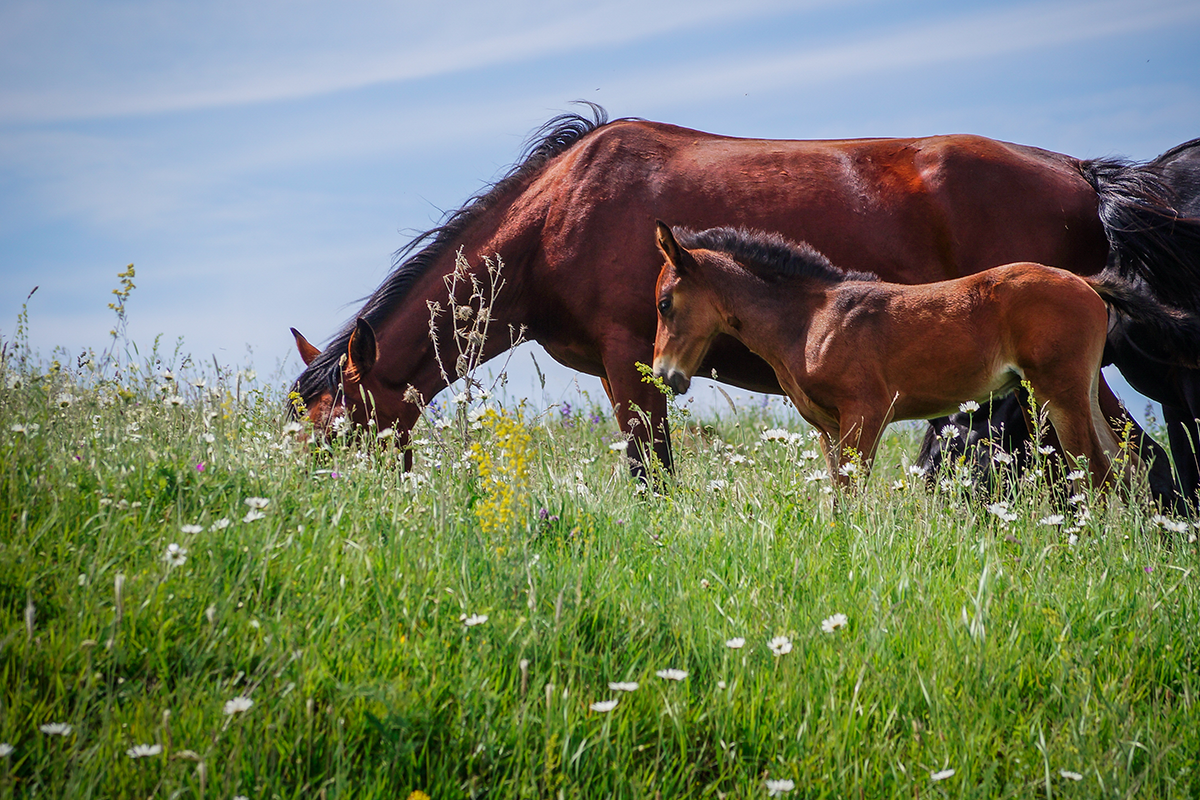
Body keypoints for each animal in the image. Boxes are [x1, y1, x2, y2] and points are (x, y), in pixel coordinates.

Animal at [652, 221, 1200, 491]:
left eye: (663, 303)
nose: (665, 376)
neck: (810, 318)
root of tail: (1083, 281)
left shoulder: (865, 414)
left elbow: (851, 494)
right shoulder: (828, 427)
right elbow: (835, 493)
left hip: (1057, 393)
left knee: (1101, 472)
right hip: (1077, 392)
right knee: (1129, 463)